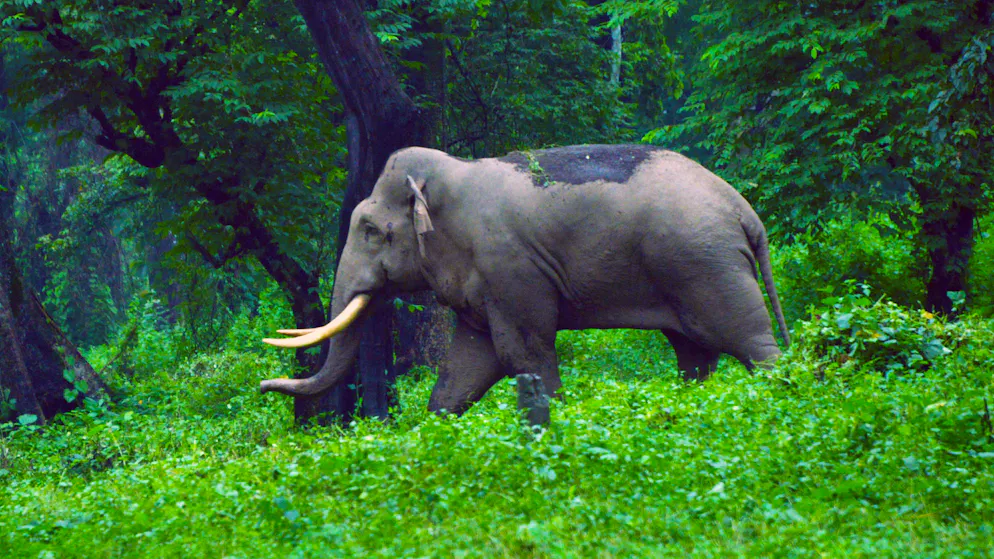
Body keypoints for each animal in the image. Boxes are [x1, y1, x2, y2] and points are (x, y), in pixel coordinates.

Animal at [260, 144, 789, 414]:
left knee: (750, 342)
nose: (265, 386)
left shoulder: (510, 268)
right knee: (695, 355)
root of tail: (746, 212)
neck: (449, 174)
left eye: (371, 231)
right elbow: (467, 368)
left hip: (706, 262)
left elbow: (523, 352)